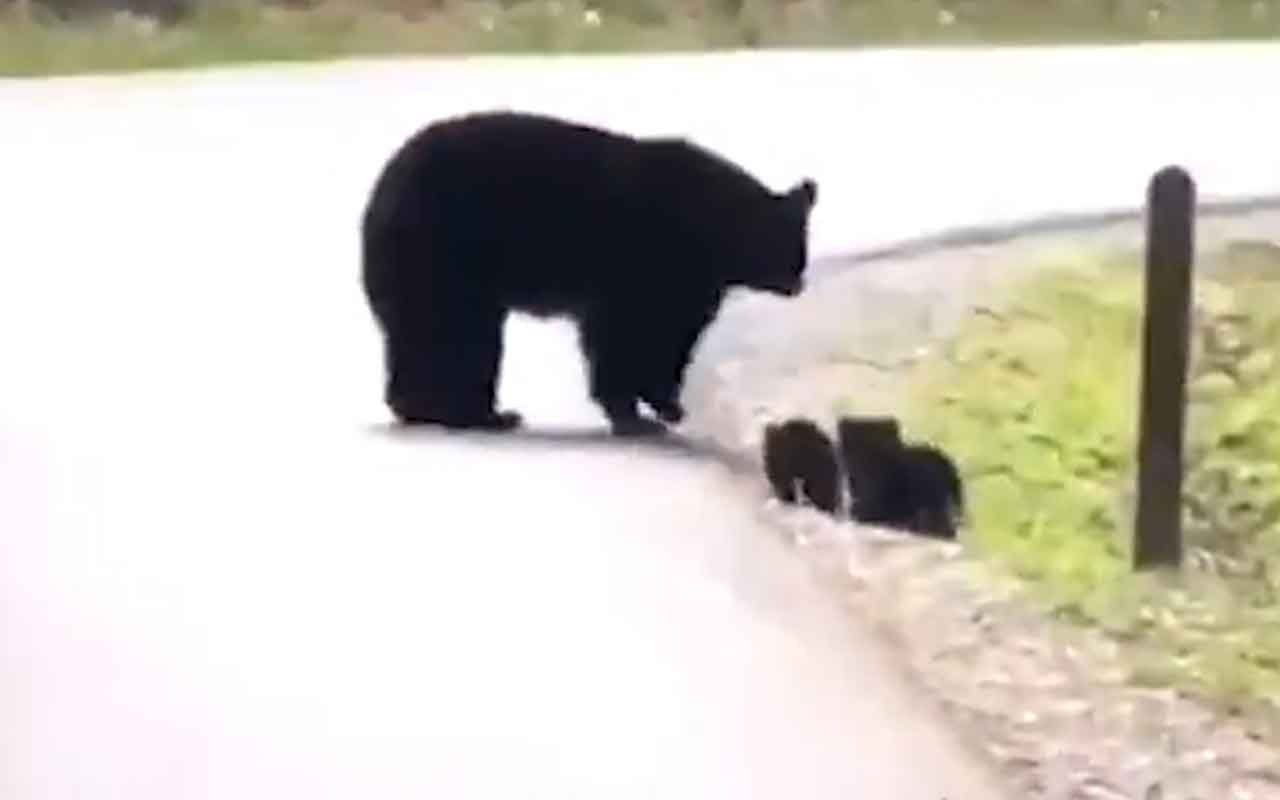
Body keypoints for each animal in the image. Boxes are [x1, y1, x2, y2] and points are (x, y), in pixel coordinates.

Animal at [360, 107, 819, 437]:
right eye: (790, 248)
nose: (798, 284)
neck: (712, 229)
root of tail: (379, 195)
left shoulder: (688, 280)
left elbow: (665, 333)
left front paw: (657, 406)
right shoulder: (652, 264)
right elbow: (632, 334)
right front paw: (646, 412)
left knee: (425, 337)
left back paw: (434, 409)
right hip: (446, 257)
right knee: (458, 336)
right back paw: (479, 415)